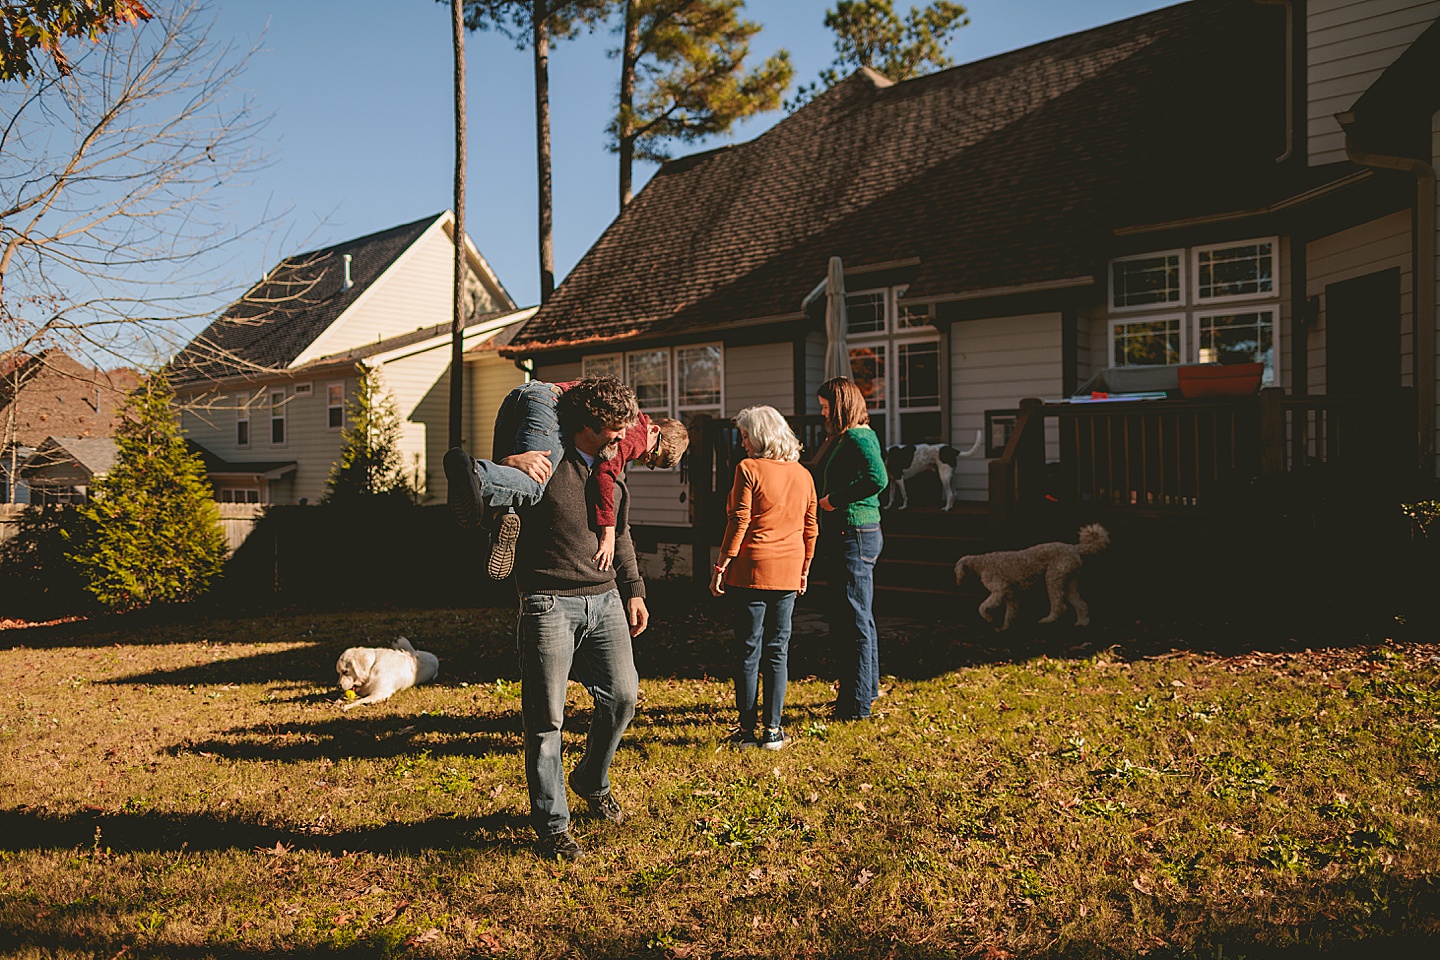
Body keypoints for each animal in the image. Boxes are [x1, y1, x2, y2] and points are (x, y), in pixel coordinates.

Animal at [956, 526, 1111, 630]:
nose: (957, 583)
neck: (981, 563)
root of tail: (1074, 548)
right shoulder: (1011, 595)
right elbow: (1010, 614)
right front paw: (1004, 628)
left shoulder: (999, 590)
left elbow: (982, 607)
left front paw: (989, 618)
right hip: (1069, 583)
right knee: (1081, 604)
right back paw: (1082, 622)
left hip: (1053, 578)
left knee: (1059, 606)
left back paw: (1048, 620)